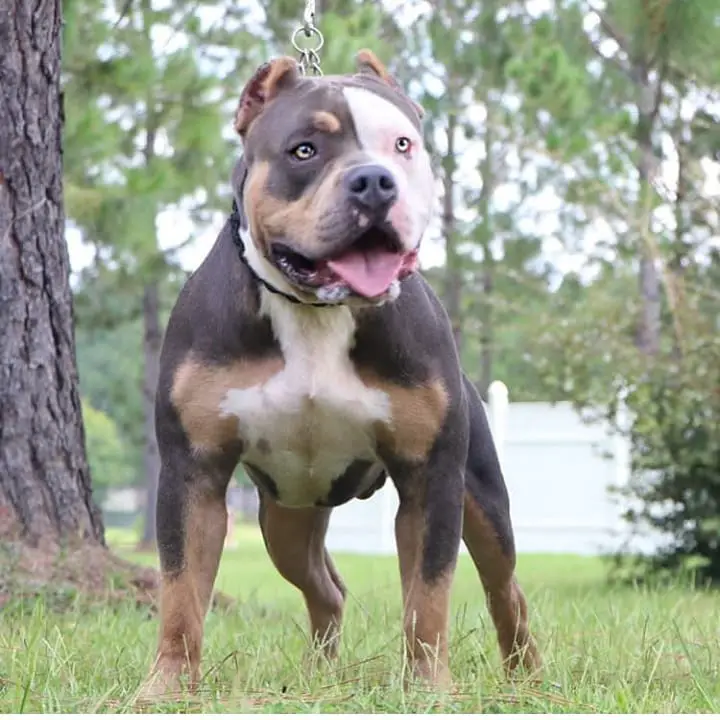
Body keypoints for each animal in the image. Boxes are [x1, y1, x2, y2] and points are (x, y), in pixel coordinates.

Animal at [142, 46, 540, 696]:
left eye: (402, 144)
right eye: (304, 149)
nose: (374, 180)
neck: (317, 311)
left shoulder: (432, 478)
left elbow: (427, 597)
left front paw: (428, 690)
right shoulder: (192, 475)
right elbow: (180, 595)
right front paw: (166, 689)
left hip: (481, 497)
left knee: (505, 587)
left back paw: (525, 675)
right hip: (284, 519)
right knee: (325, 588)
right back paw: (319, 675)